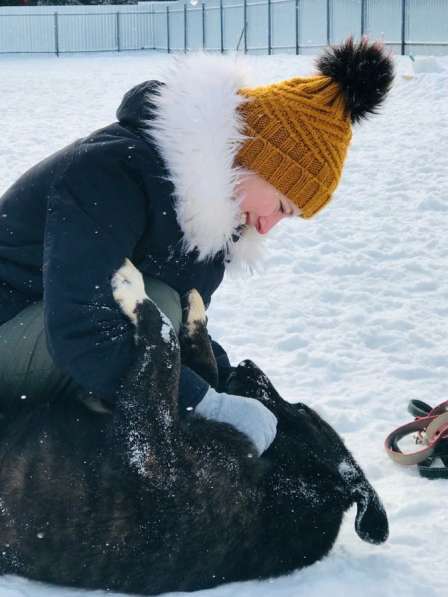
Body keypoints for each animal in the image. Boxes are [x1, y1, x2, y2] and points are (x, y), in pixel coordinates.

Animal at [0, 260, 386, 592]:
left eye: (302, 409)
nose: (247, 364)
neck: (286, 481)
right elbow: (203, 369)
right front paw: (197, 315)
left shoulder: (150, 448)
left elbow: (165, 343)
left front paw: (132, 287)